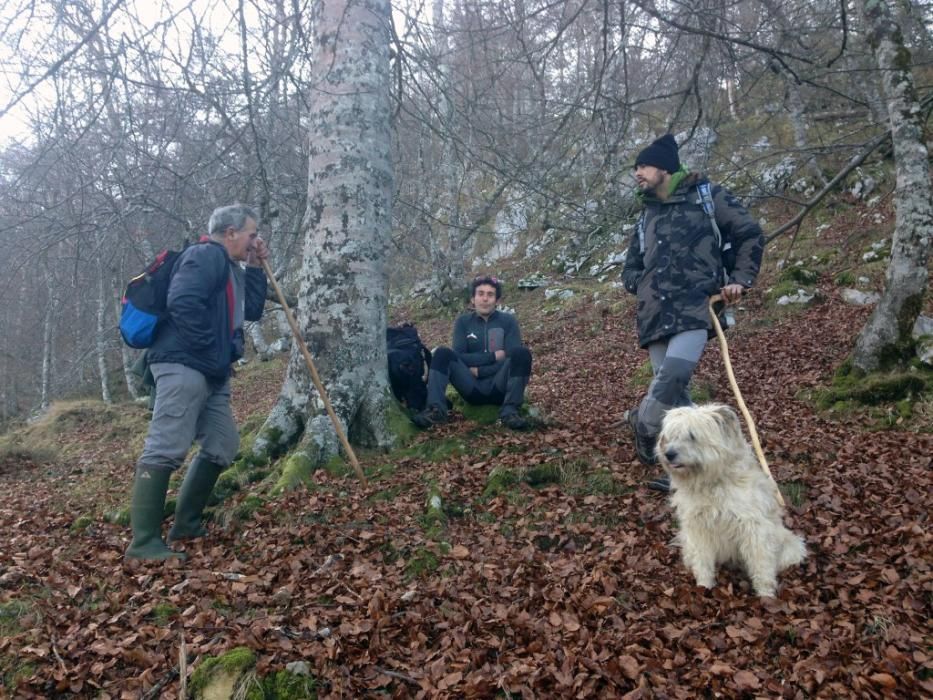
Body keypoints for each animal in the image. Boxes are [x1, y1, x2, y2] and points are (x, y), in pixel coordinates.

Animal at [660, 404, 804, 596]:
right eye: (672, 436)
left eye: (692, 435)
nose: (668, 454)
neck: (712, 483)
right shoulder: (697, 528)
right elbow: (702, 559)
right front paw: (704, 586)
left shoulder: (754, 528)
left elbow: (761, 564)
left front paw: (765, 595)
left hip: (789, 545)